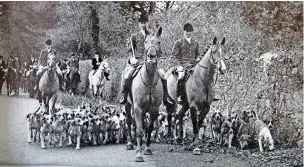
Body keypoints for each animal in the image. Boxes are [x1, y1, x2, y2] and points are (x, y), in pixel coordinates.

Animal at [124, 26, 165, 162]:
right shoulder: (137, 107)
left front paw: (147, 149)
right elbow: (139, 130)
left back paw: (141, 145)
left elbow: (149, 128)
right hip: (127, 105)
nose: (151, 56)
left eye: (158, 42)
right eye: (146, 41)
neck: (149, 80)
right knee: (129, 121)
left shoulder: (154, 109)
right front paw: (138, 155)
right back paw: (130, 144)